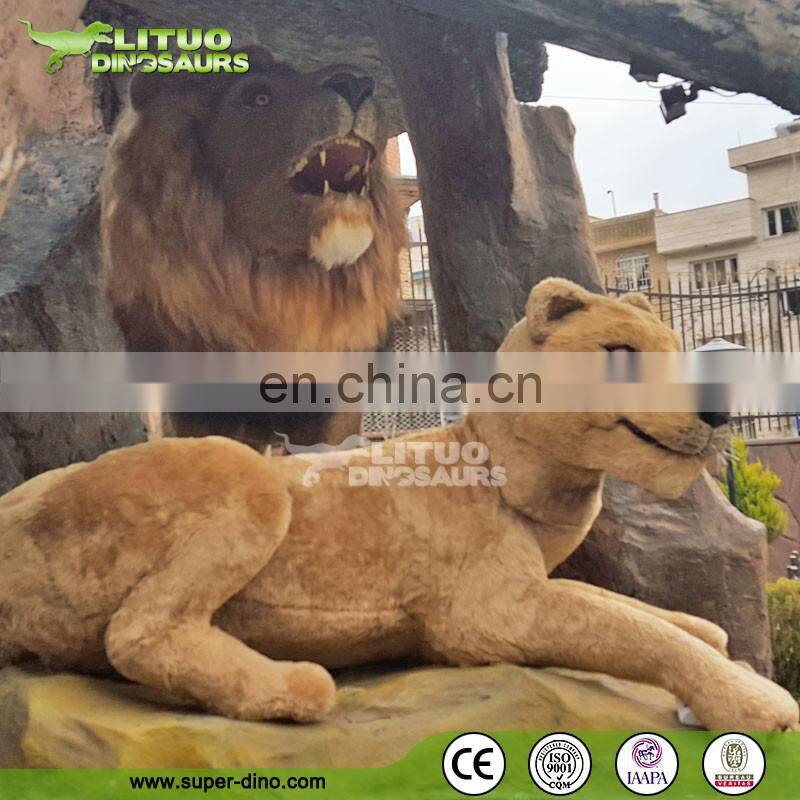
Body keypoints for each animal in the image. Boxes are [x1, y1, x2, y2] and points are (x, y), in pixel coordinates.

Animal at [0, 279, 797, 731]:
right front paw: (755, 704)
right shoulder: (485, 620)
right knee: (138, 634)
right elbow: (637, 630)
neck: (506, 469)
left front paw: (713, 643)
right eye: (622, 352)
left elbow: (644, 612)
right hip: (244, 476)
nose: (718, 412)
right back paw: (294, 686)